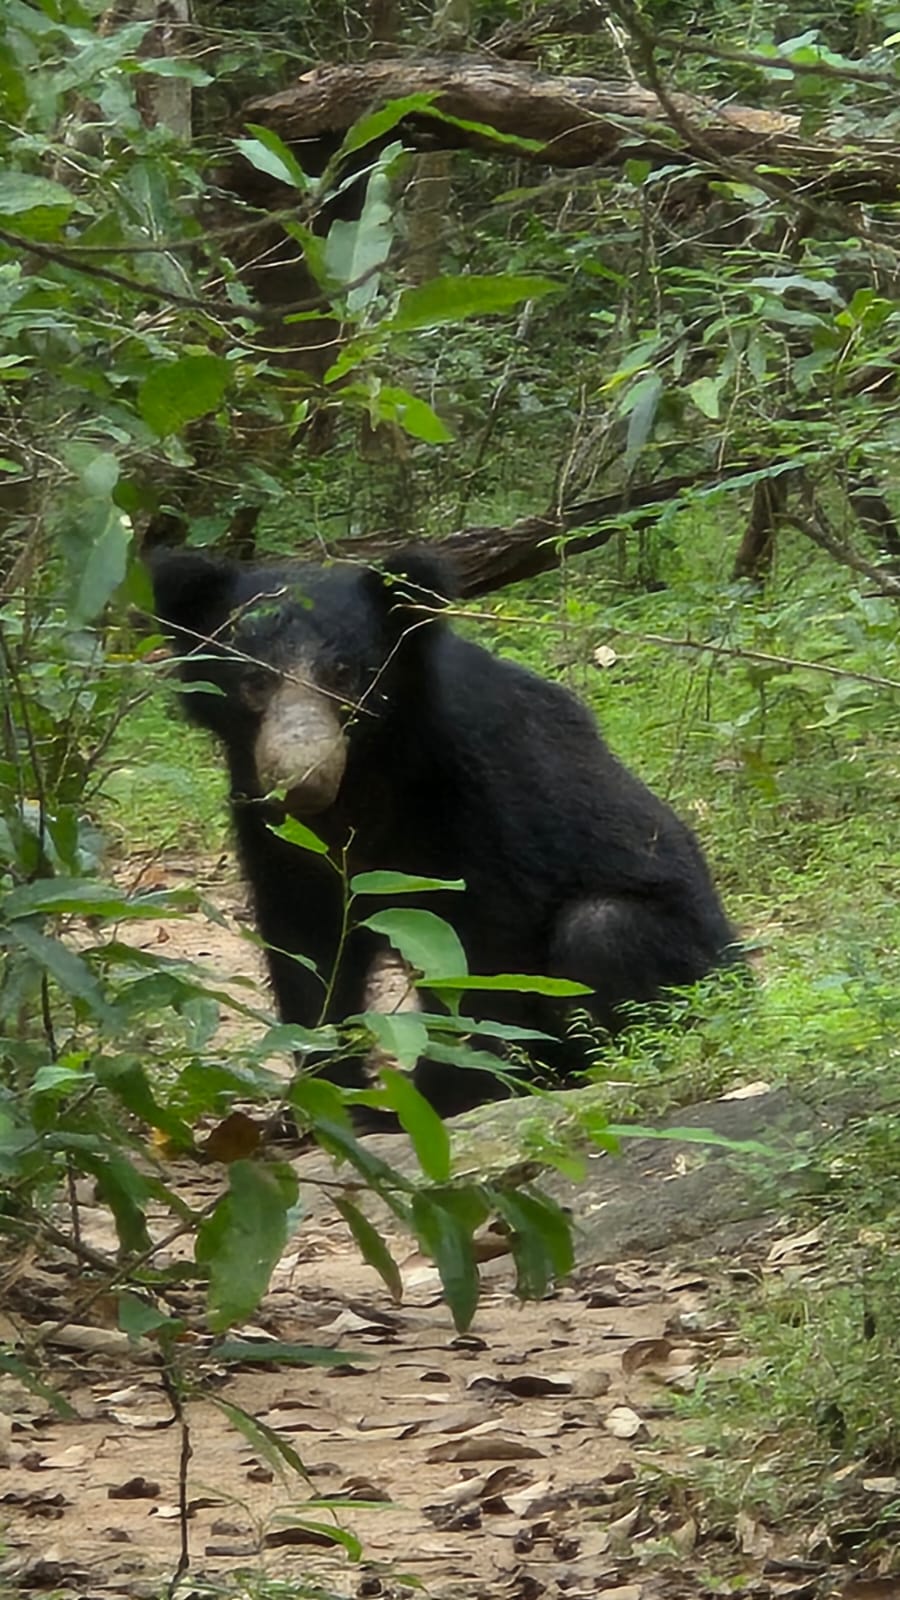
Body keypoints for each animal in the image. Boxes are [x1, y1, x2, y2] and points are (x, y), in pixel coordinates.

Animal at [148, 546, 741, 1120]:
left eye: (344, 673)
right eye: (252, 681)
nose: (301, 777)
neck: (364, 775)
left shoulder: (472, 784)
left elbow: (477, 947)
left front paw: (445, 1096)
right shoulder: (264, 815)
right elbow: (305, 944)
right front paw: (333, 1098)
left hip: (687, 959)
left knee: (602, 928)